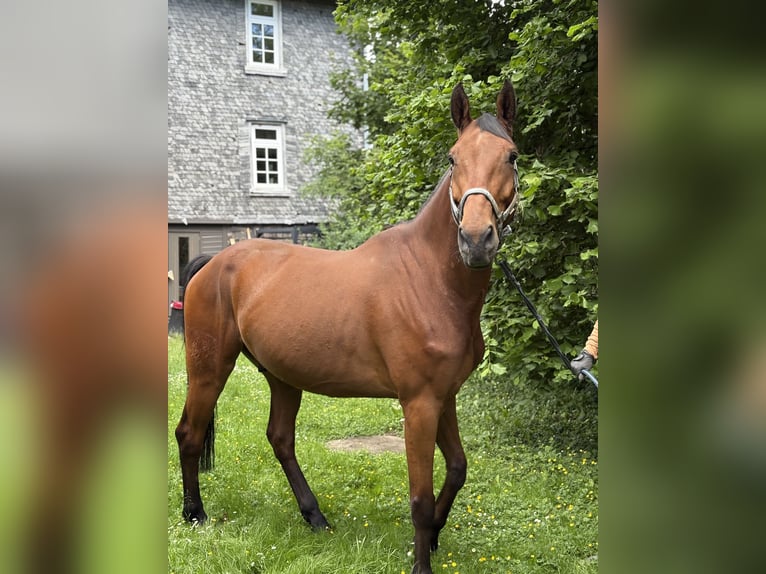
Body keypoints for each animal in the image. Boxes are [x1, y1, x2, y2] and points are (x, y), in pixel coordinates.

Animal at [175, 81, 521, 574]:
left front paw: (435, 534)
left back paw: (314, 516)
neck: (429, 280)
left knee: (280, 438)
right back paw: (195, 513)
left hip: (281, 375)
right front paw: (422, 557)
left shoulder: (445, 397)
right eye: (453, 158)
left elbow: (457, 468)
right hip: (208, 368)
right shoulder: (419, 404)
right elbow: (419, 497)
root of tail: (213, 263)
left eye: (511, 155)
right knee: (190, 433)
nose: (476, 240)